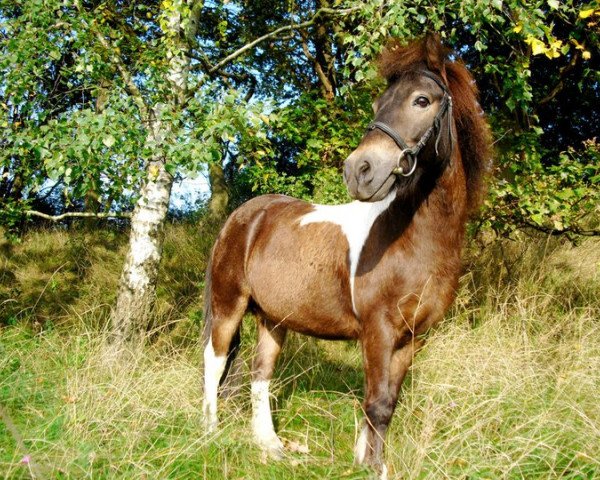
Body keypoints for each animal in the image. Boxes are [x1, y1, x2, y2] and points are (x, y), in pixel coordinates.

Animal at [202, 33, 492, 476]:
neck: (411, 239)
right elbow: (377, 401)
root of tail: (243, 216)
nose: (359, 170)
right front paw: (372, 467)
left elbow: (386, 401)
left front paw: (368, 460)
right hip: (227, 304)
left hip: (274, 318)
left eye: (421, 100)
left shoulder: (412, 338)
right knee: (214, 362)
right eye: (377, 104)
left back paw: (270, 446)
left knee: (260, 372)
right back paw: (210, 433)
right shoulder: (378, 331)